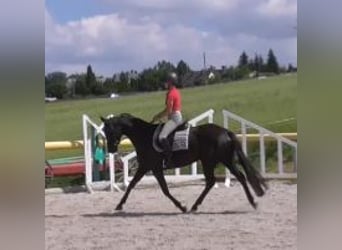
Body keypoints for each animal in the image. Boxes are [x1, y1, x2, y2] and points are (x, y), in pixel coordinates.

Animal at [100, 113, 268, 213]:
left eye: (109, 131)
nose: (110, 149)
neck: (144, 135)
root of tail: (225, 131)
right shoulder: (146, 167)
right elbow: (132, 185)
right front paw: (119, 205)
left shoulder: (152, 167)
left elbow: (164, 190)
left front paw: (182, 206)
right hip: (218, 160)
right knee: (219, 180)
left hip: (215, 160)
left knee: (229, 178)